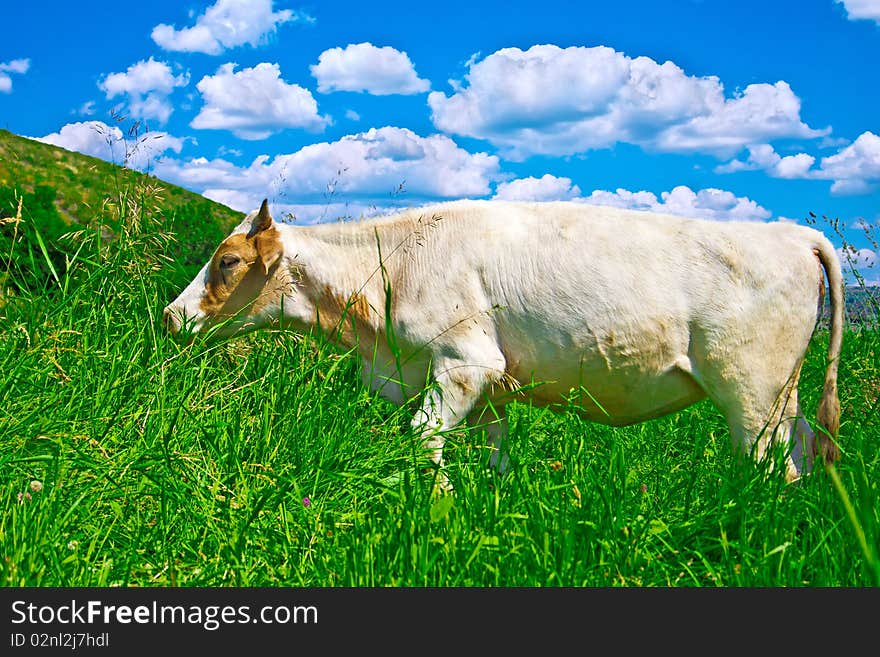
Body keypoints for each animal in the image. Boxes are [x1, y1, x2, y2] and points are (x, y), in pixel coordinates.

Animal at [162, 197, 844, 490]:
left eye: (227, 262)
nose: (170, 317)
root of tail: (795, 233)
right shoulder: (490, 382)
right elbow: (496, 451)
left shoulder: (464, 363)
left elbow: (422, 436)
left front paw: (433, 504)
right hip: (783, 397)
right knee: (804, 450)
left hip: (749, 393)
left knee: (772, 467)